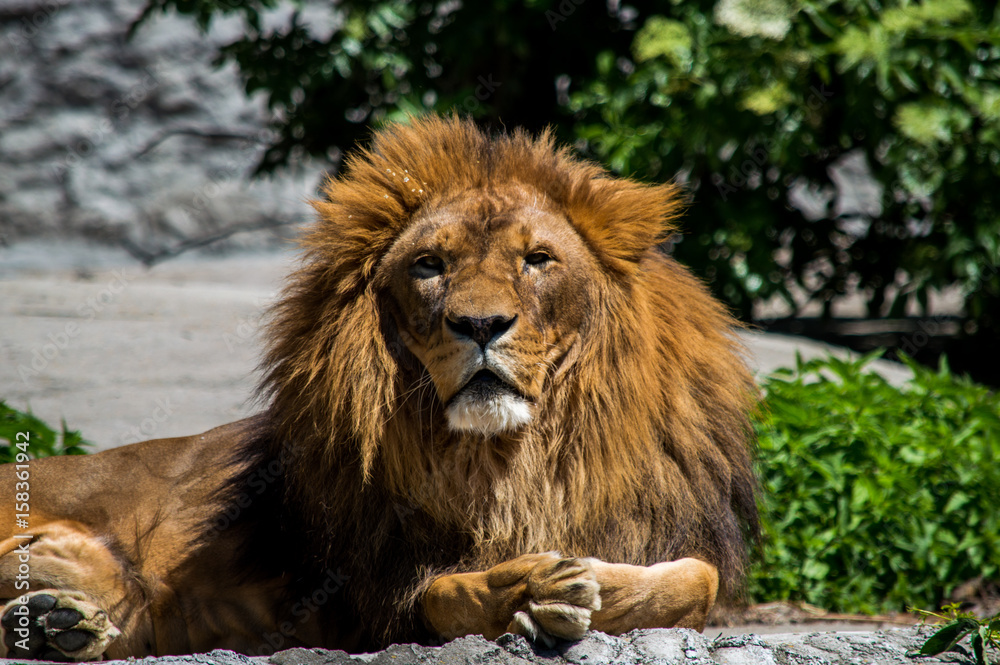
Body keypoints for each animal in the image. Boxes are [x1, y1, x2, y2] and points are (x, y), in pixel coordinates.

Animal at [0, 115, 756, 660]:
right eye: (430, 265)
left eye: (538, 259)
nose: (480, 324)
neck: (512, 460)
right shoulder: (365, 597)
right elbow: (443, 591)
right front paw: (527, 588)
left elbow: (698, 576)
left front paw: (599, 583)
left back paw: (53, 620)